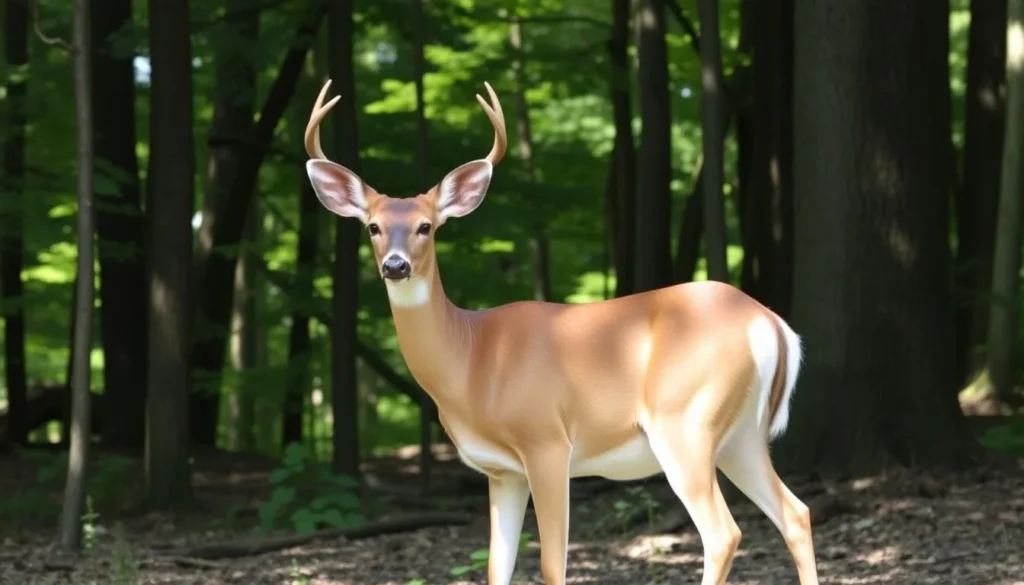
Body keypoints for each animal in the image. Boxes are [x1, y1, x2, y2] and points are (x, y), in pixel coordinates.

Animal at [304, 80, 820, 585]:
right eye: (373, 227)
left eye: (426, 227)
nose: (395, 266)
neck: (470, 360)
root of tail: (769, 321)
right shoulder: (501, 471)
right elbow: (496, 567)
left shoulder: (547, 442)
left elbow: (553, 566)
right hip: (740, 434)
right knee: (796, 513)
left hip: (685, 419)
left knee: (723, 534)